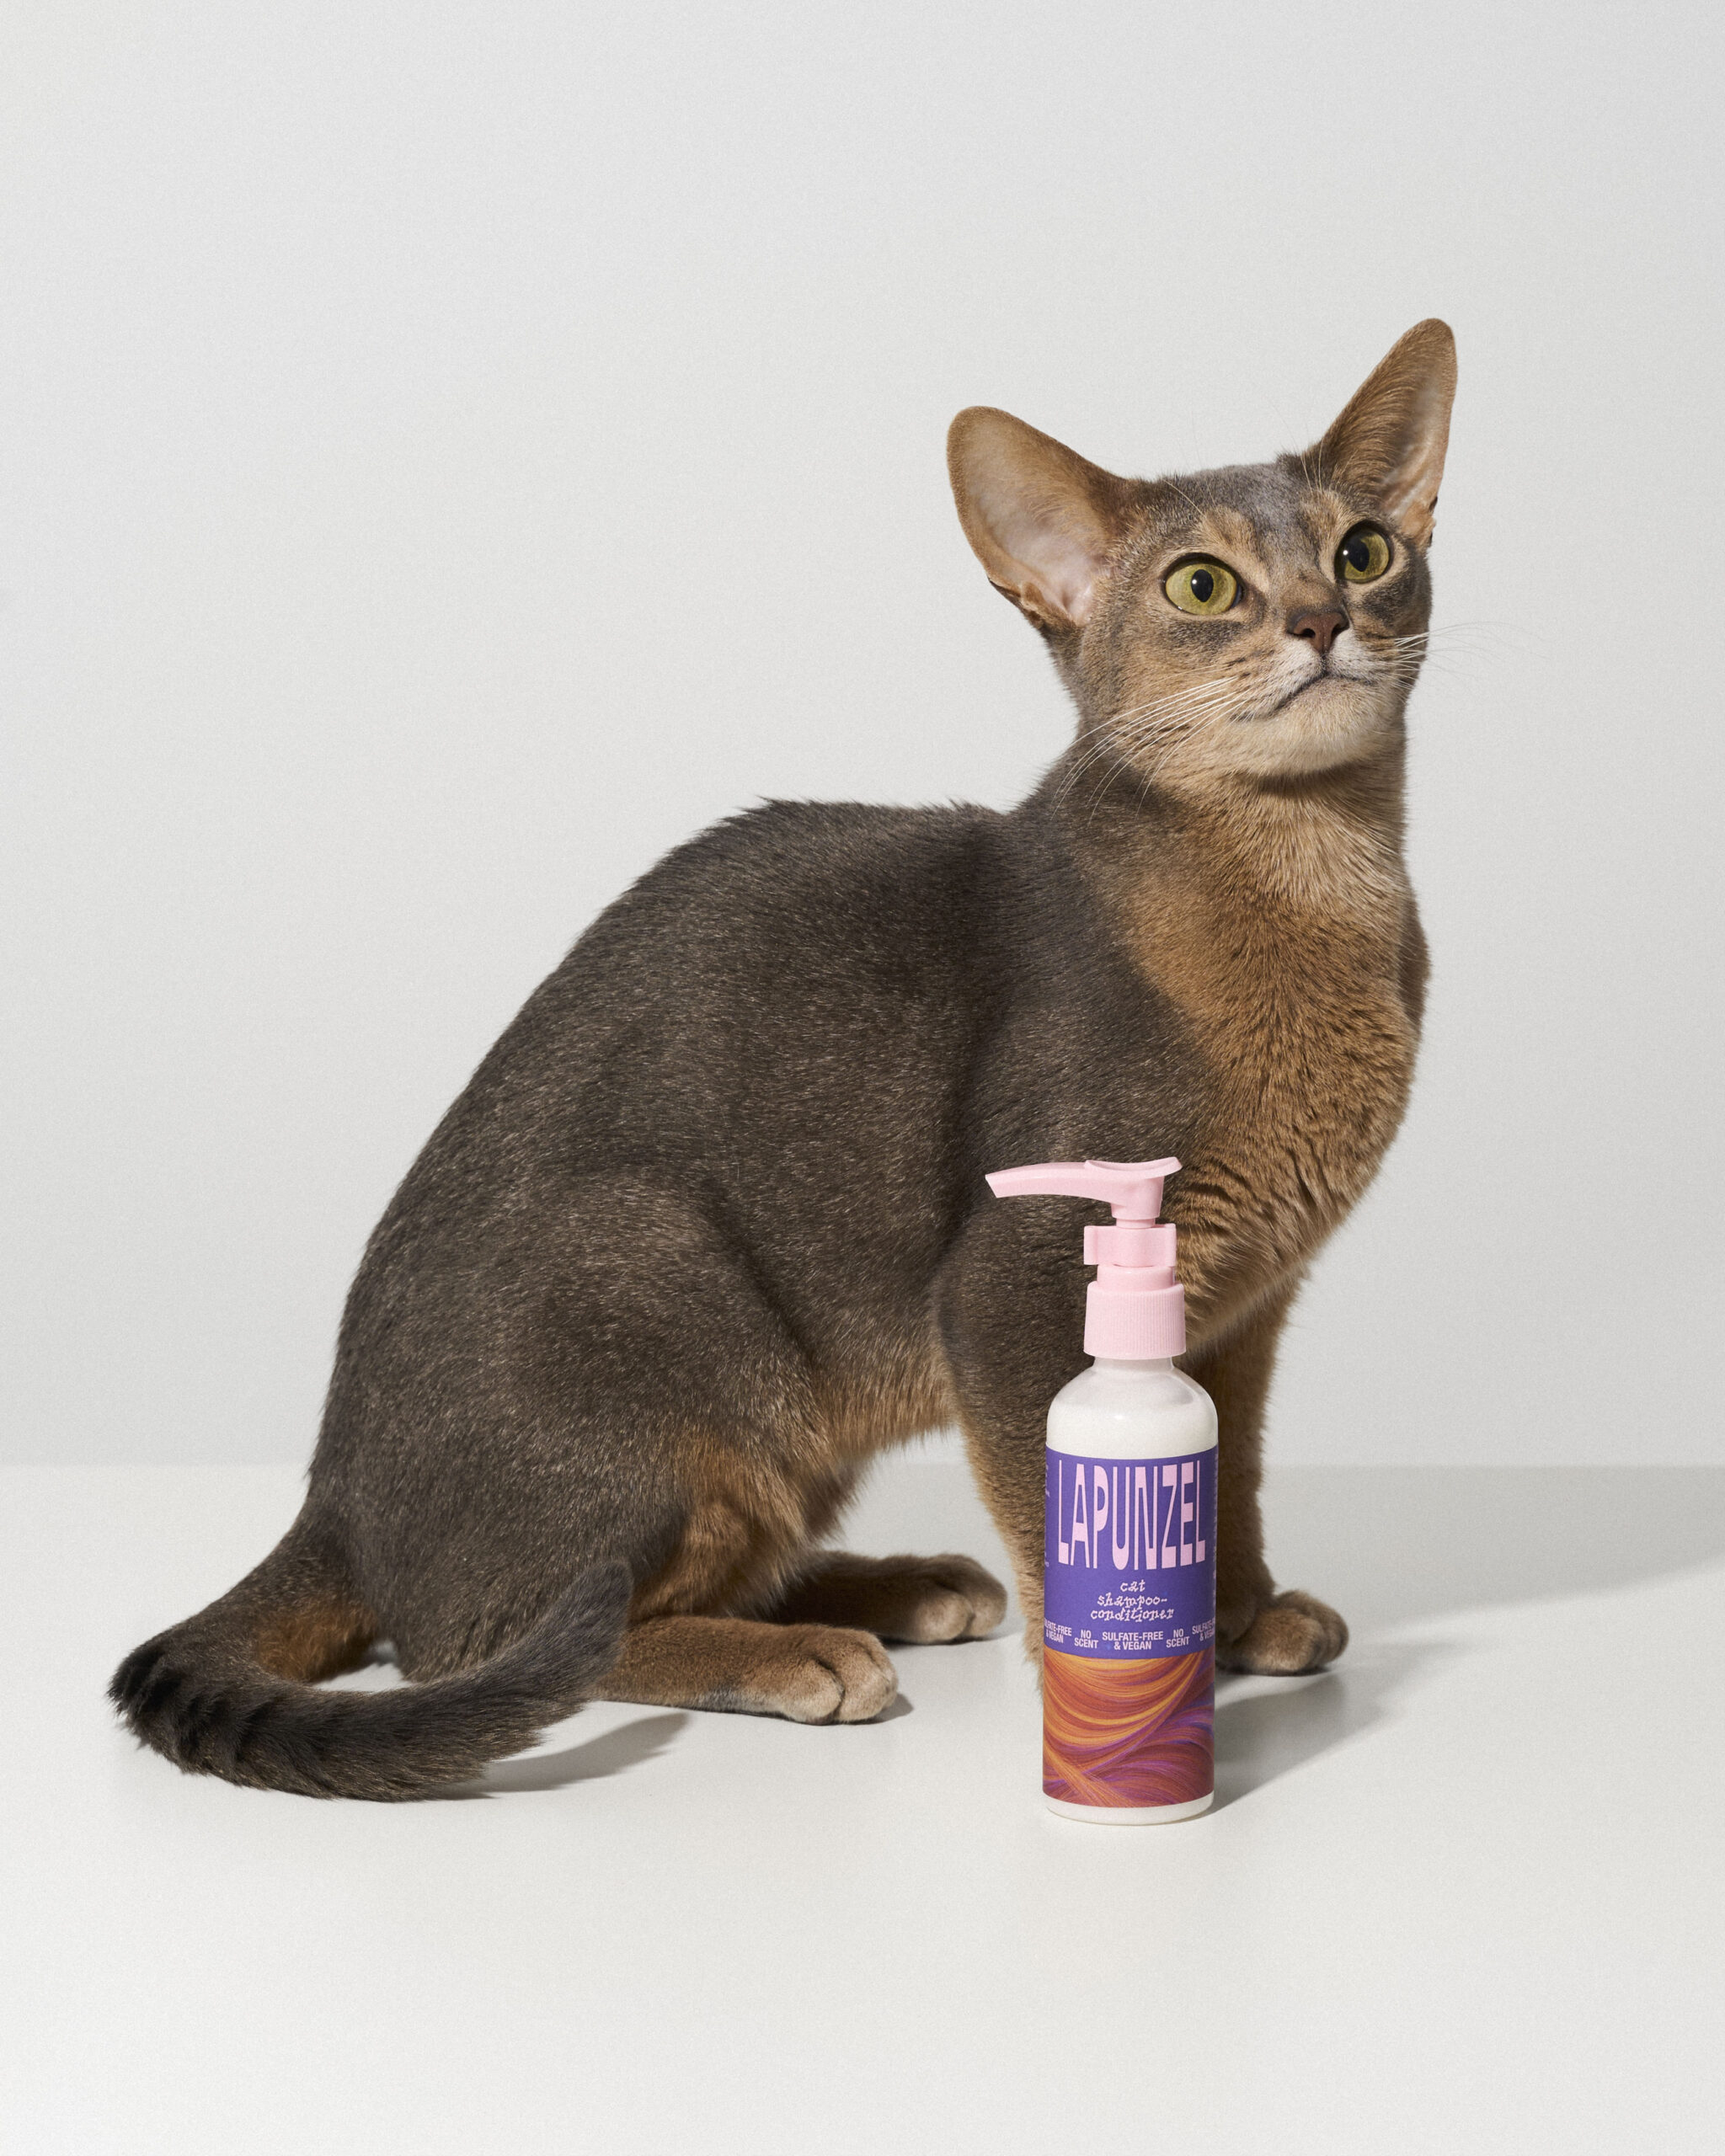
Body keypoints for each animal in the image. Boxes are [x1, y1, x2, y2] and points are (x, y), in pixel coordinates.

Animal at [112, 320, 1456, 1799]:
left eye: (1364, 550)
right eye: (1203, 584)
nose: (1322, 620)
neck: (1315, 885)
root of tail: (333, 1493)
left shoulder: (1246, 1306)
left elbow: (1234, 1476)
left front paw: (1241, 1610)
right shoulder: (1016, 1282)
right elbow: (1062, 1507)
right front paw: (1124, 1689)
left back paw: (898, 1588)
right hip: (667, 1286)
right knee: (504, 1644)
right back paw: (798, 1654)